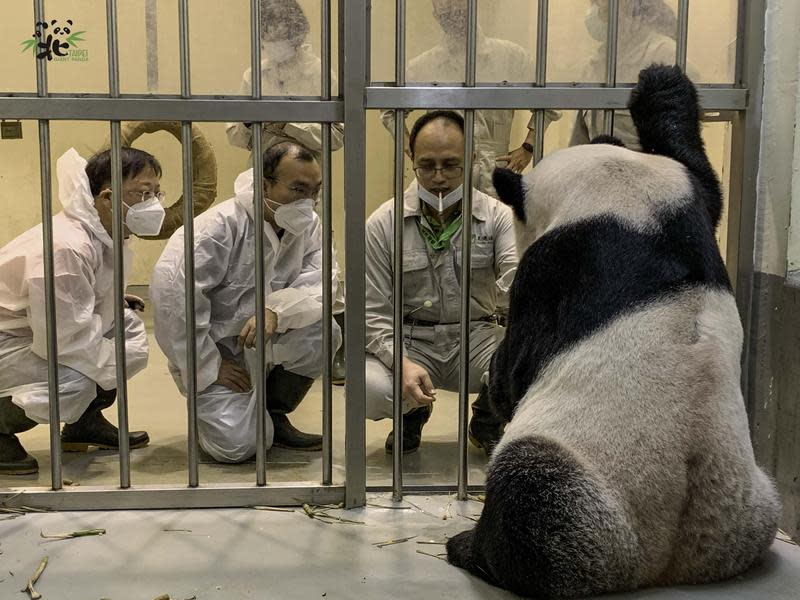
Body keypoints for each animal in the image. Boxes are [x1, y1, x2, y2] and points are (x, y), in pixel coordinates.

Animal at [446, 65, 780, 600]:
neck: (617, 201)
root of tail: (668, 562)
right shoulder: (681, 200)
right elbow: (704, 179)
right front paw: (659, 83)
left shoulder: (552, 268)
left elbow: (518, 368)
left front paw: (497, 380)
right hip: (753, 502)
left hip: (592, 489)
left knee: (534, 498)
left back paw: (472, 549)